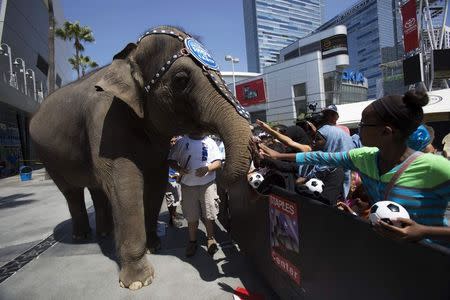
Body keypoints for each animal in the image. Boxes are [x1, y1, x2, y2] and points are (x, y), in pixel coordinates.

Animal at [29, 26, 253, 290]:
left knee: (97, 189)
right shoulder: (104, 122)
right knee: (71, 192)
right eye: (181, 80)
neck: (129, 56)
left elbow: (155, 181)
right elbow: (126, 185)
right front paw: (139, 281)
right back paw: (82, 235)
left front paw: (154, 246)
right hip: (48, 157)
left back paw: (104, 234)